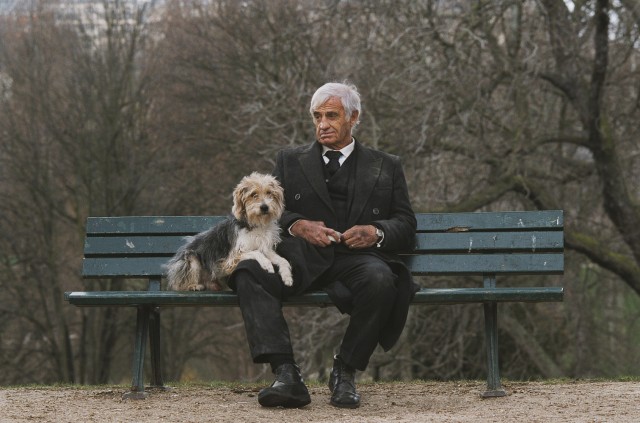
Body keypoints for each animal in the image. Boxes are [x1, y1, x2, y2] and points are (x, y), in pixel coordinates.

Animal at [165, 172, 296, 292]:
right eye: (253, 194)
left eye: (269, 193)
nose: (264, 207)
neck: (256, 224)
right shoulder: (231, 258)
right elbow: (256, 253)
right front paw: (267, 264)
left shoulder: (266, 248)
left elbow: (282, 260)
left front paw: (287, 277)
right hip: (191, 258)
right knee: (179, 285)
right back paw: (193, 286)